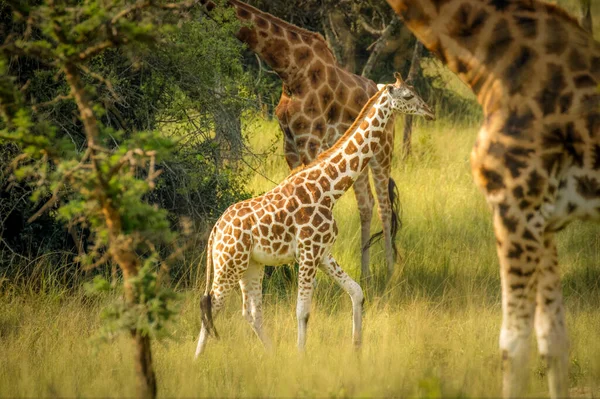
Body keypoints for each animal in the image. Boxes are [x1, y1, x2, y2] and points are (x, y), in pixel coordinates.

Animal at [195, 74, 434, 360]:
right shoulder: (308, 253)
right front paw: (301, 357)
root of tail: (215, 230)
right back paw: (197, 361)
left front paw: (357, 347)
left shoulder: (323, 253)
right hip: (228, 264)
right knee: (211, 306)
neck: (329, 188)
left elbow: (357, 292)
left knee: (251, 313)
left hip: (251, 265)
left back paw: (273, 356)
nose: (430, 111)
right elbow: (303, 312)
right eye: (408, 96)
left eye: (415, 91)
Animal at [384, 0, 600, 396]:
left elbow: (513, 345)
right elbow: (553, 340)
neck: (496, 64)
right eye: (407, 95)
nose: (431, 112)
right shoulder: (541, 221)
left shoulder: (514, 208)